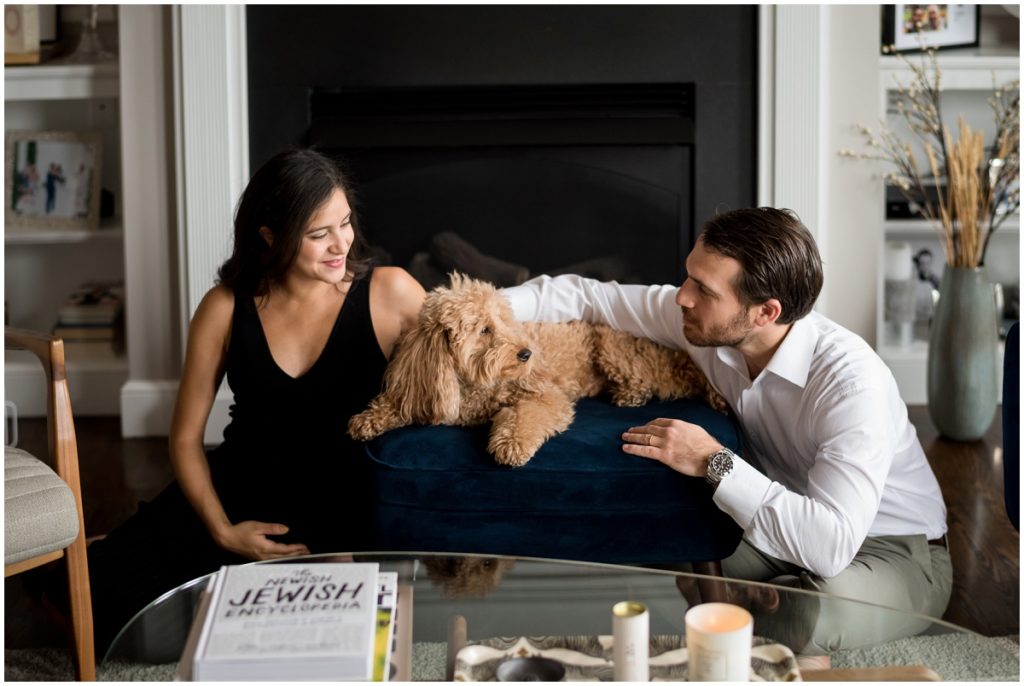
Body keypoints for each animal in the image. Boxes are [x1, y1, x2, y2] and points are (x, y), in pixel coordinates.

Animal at [348, 274, 724, 466]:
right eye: (484, 329)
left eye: (505, 319)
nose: (526, 353)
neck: (473, 385)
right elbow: (400, 404)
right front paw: (369, 419)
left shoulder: (543, 395)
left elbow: (524, 416)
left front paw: (512, 443)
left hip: (613, 350)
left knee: (661, 378)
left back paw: (632, 394)